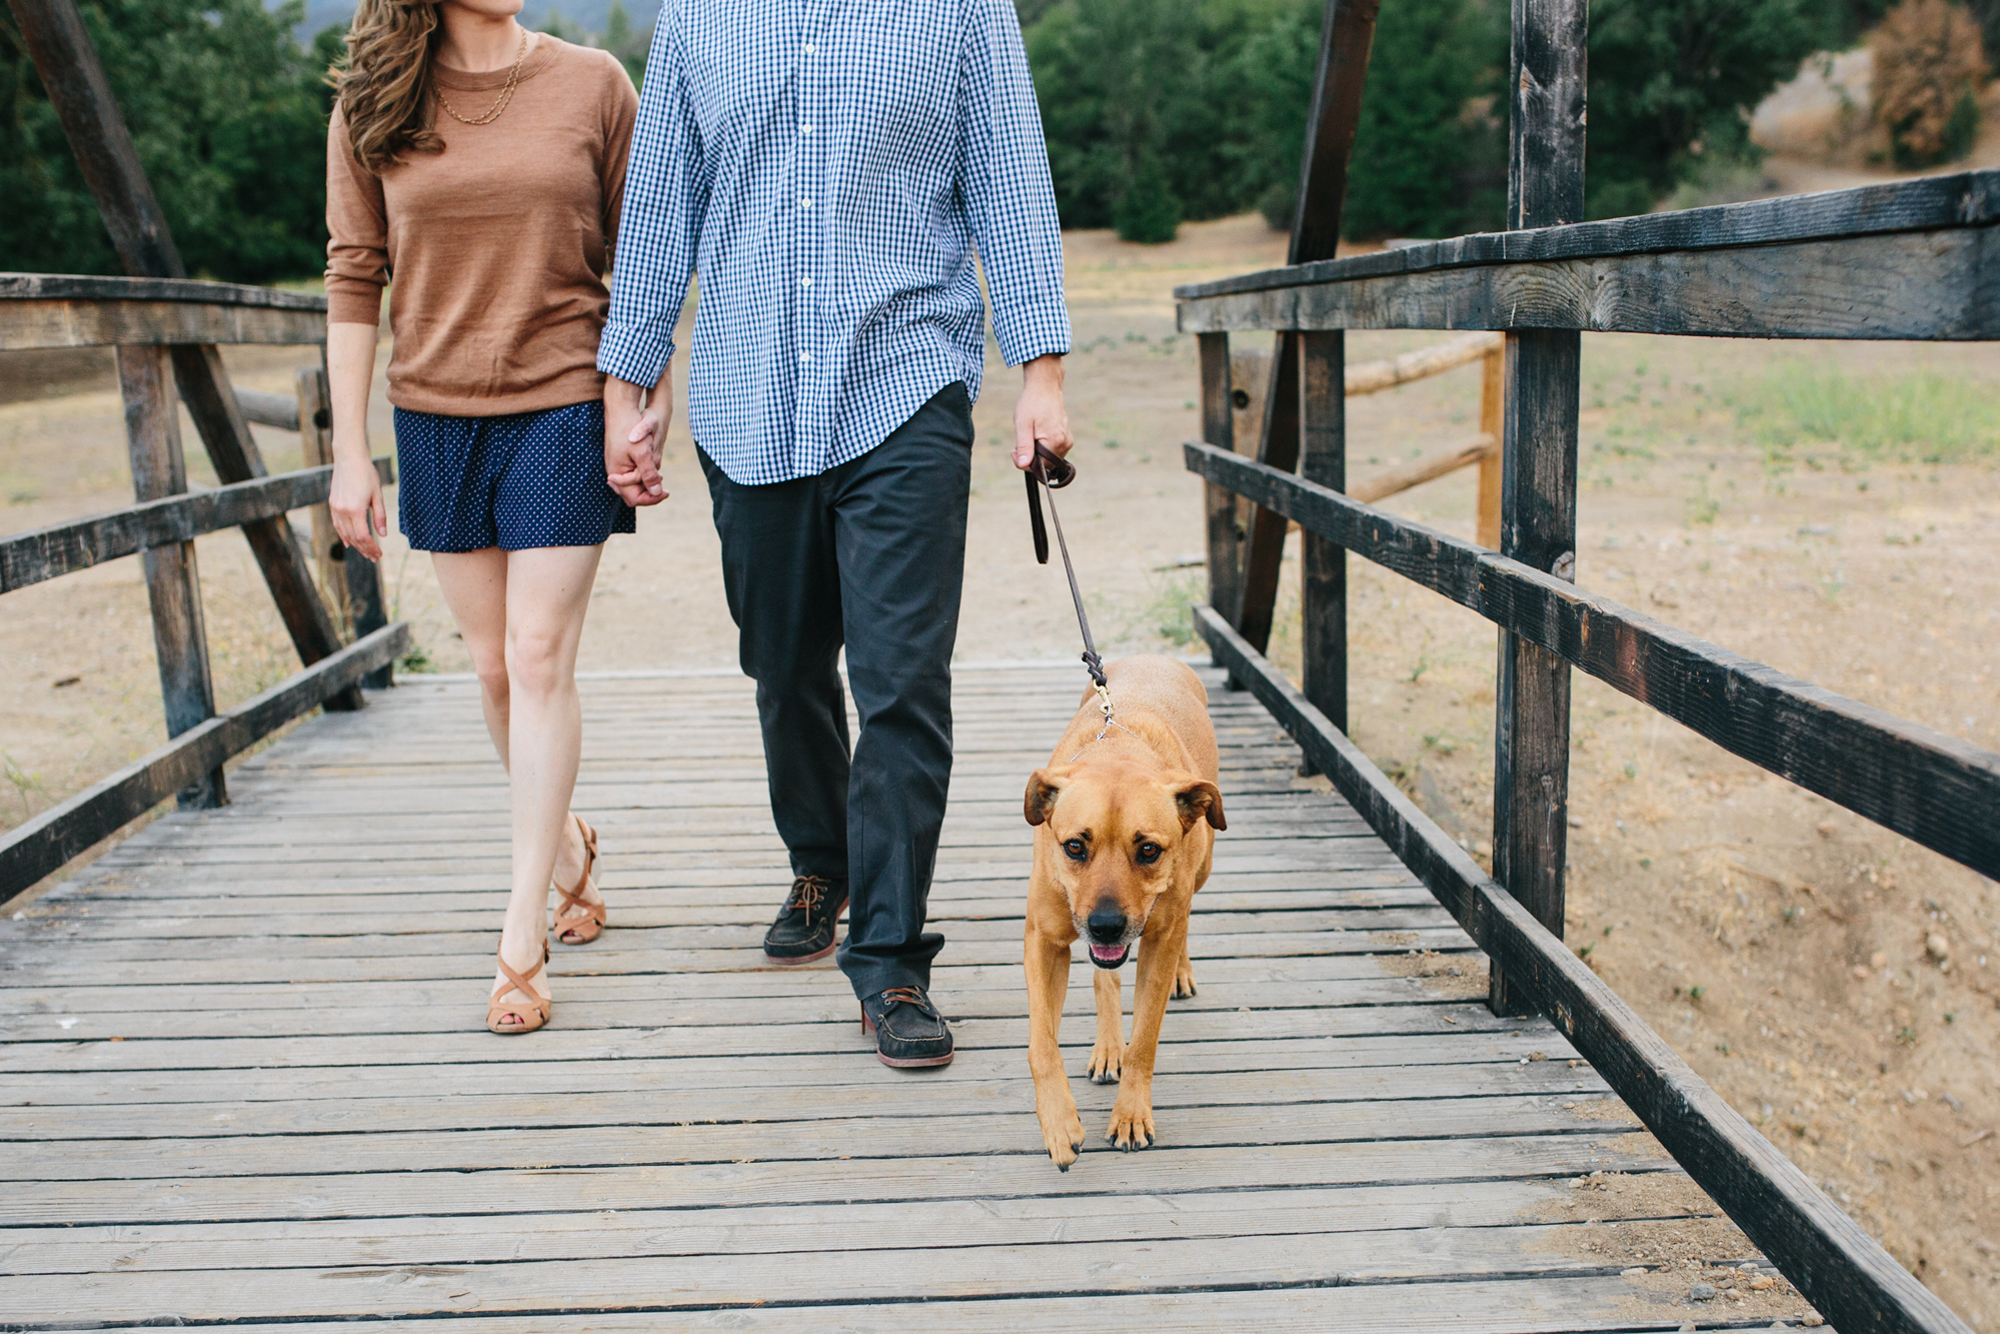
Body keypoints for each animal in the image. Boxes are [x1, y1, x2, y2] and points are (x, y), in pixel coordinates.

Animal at [1024, 656, 1224, 1168]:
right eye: (1074, 846)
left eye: (1149, 849)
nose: (1106, 926)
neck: (1117, 751)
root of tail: (1156, 657)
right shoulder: (1044, 941)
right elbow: (1042, 1044)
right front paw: (1059, 1123)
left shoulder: (1157, 941)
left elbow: (1146, 1040)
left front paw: (1131, 1114)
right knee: (1104, 978)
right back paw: (1109, 1045)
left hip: (1201, 872)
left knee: (1184, 922)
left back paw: (1180, 973)